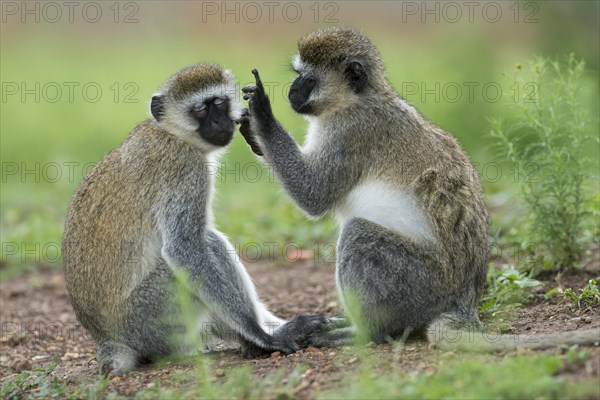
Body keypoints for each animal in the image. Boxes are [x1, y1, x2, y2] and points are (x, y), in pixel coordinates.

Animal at [62, 62, 324, 376]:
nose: (220, 122)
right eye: (200, 109)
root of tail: (108, 340)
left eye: (219, 103)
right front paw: (262, 335)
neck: (174, 134)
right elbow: (184, 248)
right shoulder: (187, 171)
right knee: (205, 245)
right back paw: (256, 339)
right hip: (151, 315)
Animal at [240, 27, 600, 350]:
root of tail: (462, 300)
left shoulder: (351, 130)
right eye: (298, 75)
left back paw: (364, 332)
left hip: (416, 284)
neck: (358, 98)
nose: (292, 91)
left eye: (309, 80)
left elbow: (313, 194)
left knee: (360, 235)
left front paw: (261, 115)